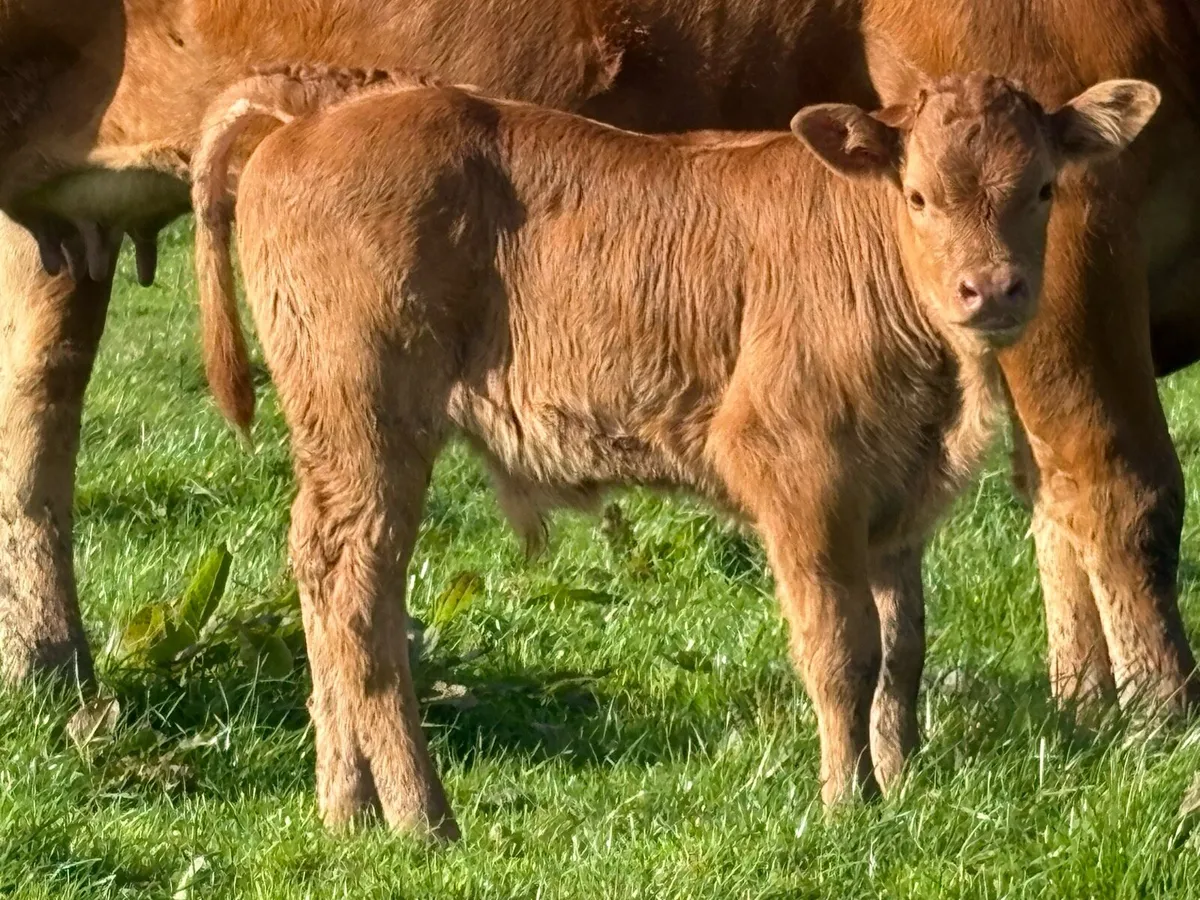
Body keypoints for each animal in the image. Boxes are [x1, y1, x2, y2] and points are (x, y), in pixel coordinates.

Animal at [0, 0, 1194, 748]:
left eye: (1036, 188)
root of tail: (320, 102)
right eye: (918, 196)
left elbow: (1006, 533)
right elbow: (1115, 481)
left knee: (36, 432)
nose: (989, 288)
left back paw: (62, 678)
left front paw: (1078, 713)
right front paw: (1158, 727)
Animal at [190, 66, 1159, 837]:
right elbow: (842, 649)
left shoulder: (894, 501)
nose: (990, 289)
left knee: (324, 581)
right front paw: (851, 802)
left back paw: (348, 809)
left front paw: (904, 779)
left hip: (339, 439)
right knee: (360, 592)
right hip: (370, 422)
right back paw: (423, 817)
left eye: (1042, 189)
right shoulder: (800, 471)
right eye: (918, 195)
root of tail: (323, 109)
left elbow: (903, 650)